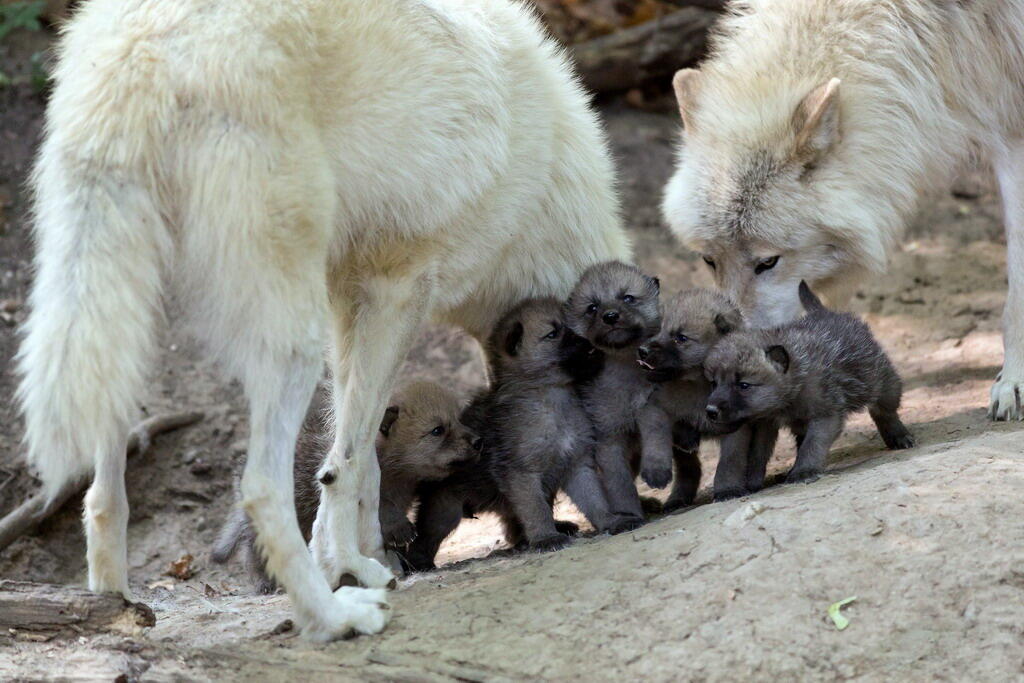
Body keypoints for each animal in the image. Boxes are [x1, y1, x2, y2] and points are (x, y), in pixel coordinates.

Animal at [18, 0, 630, 643]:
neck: (543, 185)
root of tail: (142, 48)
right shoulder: (397, 293)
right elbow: (348, 461)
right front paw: (351, 568)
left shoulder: (349, 301)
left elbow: (359, 457)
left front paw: (367, 558)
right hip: (292, 342)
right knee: (260, 489)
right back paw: (332, 618)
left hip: (129, 320)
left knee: (100, 492)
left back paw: (112, 607)